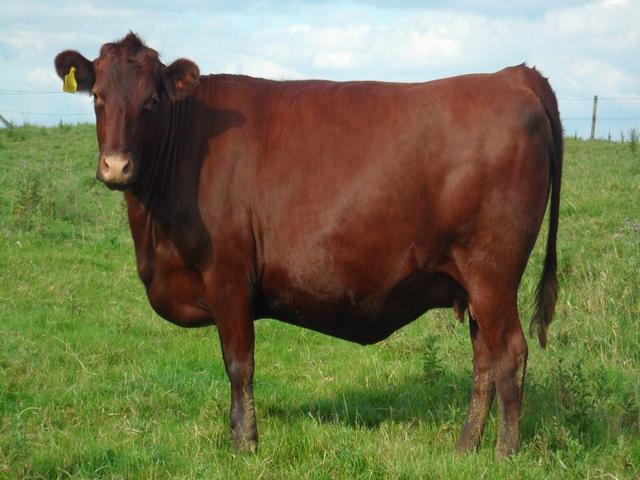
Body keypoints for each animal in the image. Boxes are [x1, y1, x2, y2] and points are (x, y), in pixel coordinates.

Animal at [55, 32, 562, 459]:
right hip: (472, 285)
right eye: (98, 98)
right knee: (484, 362)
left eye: (152, 101)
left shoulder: (228, 277)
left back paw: (505, 453)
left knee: (509, 354)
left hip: (493, 273)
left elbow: (239, 364)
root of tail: (513, 76)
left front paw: (245, 443)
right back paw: (463, 448)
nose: (116, 166)